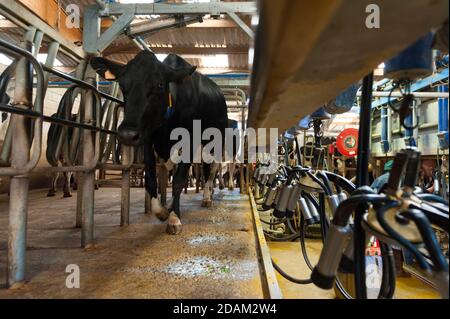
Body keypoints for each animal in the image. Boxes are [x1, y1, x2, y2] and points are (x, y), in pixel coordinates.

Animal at [92, 50, 232, 235]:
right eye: (122, 85)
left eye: (159, 85)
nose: (127, 134)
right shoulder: (147, 140)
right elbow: (151, 180)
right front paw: (162, 211)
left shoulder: (190, 142)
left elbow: (179, 180)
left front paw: (174, 218)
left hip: (214, 142)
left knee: (211, 170)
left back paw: (207, 198)